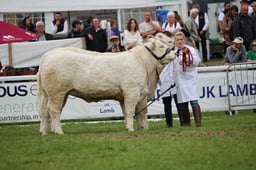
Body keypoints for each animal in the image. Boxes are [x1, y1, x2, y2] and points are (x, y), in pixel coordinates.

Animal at [37, 35, 175, 134]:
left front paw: (136, 127)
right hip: (57, 92)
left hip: (50, 94)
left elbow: (132, 112)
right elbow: (135, 111)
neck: (142, 62)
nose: (174, 53)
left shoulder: (127, 95)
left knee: (44, 111)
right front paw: (133, 129)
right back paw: (59, 132)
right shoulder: (132, 91)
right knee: (53, 110)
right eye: (161, 46)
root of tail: (47, 55)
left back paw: (44, 132)